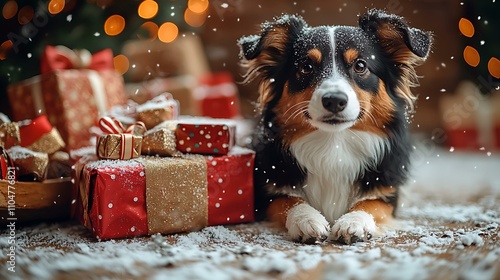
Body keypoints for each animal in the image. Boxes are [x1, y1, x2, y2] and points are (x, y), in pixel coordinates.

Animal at [237, 9, 430, 244]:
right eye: (306, 67)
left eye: (360, 65)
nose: (334, 100)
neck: (333, 144)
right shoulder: (267, 191)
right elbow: (288, 199)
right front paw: (307, 220)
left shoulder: (388, 192)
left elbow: (371, 203)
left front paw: (353, 222)